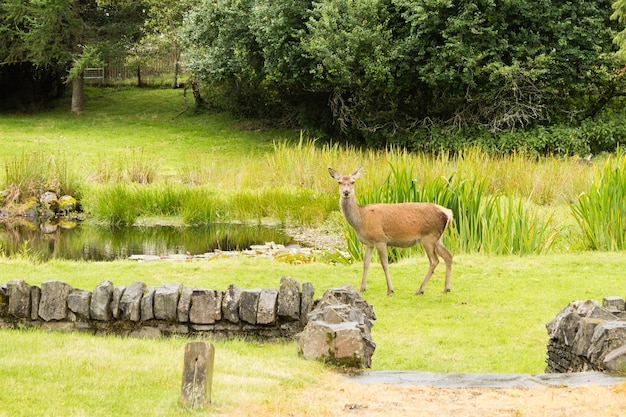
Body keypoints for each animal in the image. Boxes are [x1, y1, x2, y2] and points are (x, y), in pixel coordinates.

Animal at [326, 166, 454, 296]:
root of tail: (448, 212)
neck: (361, 220)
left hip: (429, 237)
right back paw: (446, 288)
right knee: (448, 255)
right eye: (339, 182)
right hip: (438, 238)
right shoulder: (369, 243)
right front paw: (362, 288)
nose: (346, 192)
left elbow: (384, 264)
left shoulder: (380, 239)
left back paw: (420, 290)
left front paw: (390, 290)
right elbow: (366, 263)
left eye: (353, 182)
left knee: (434, 260)